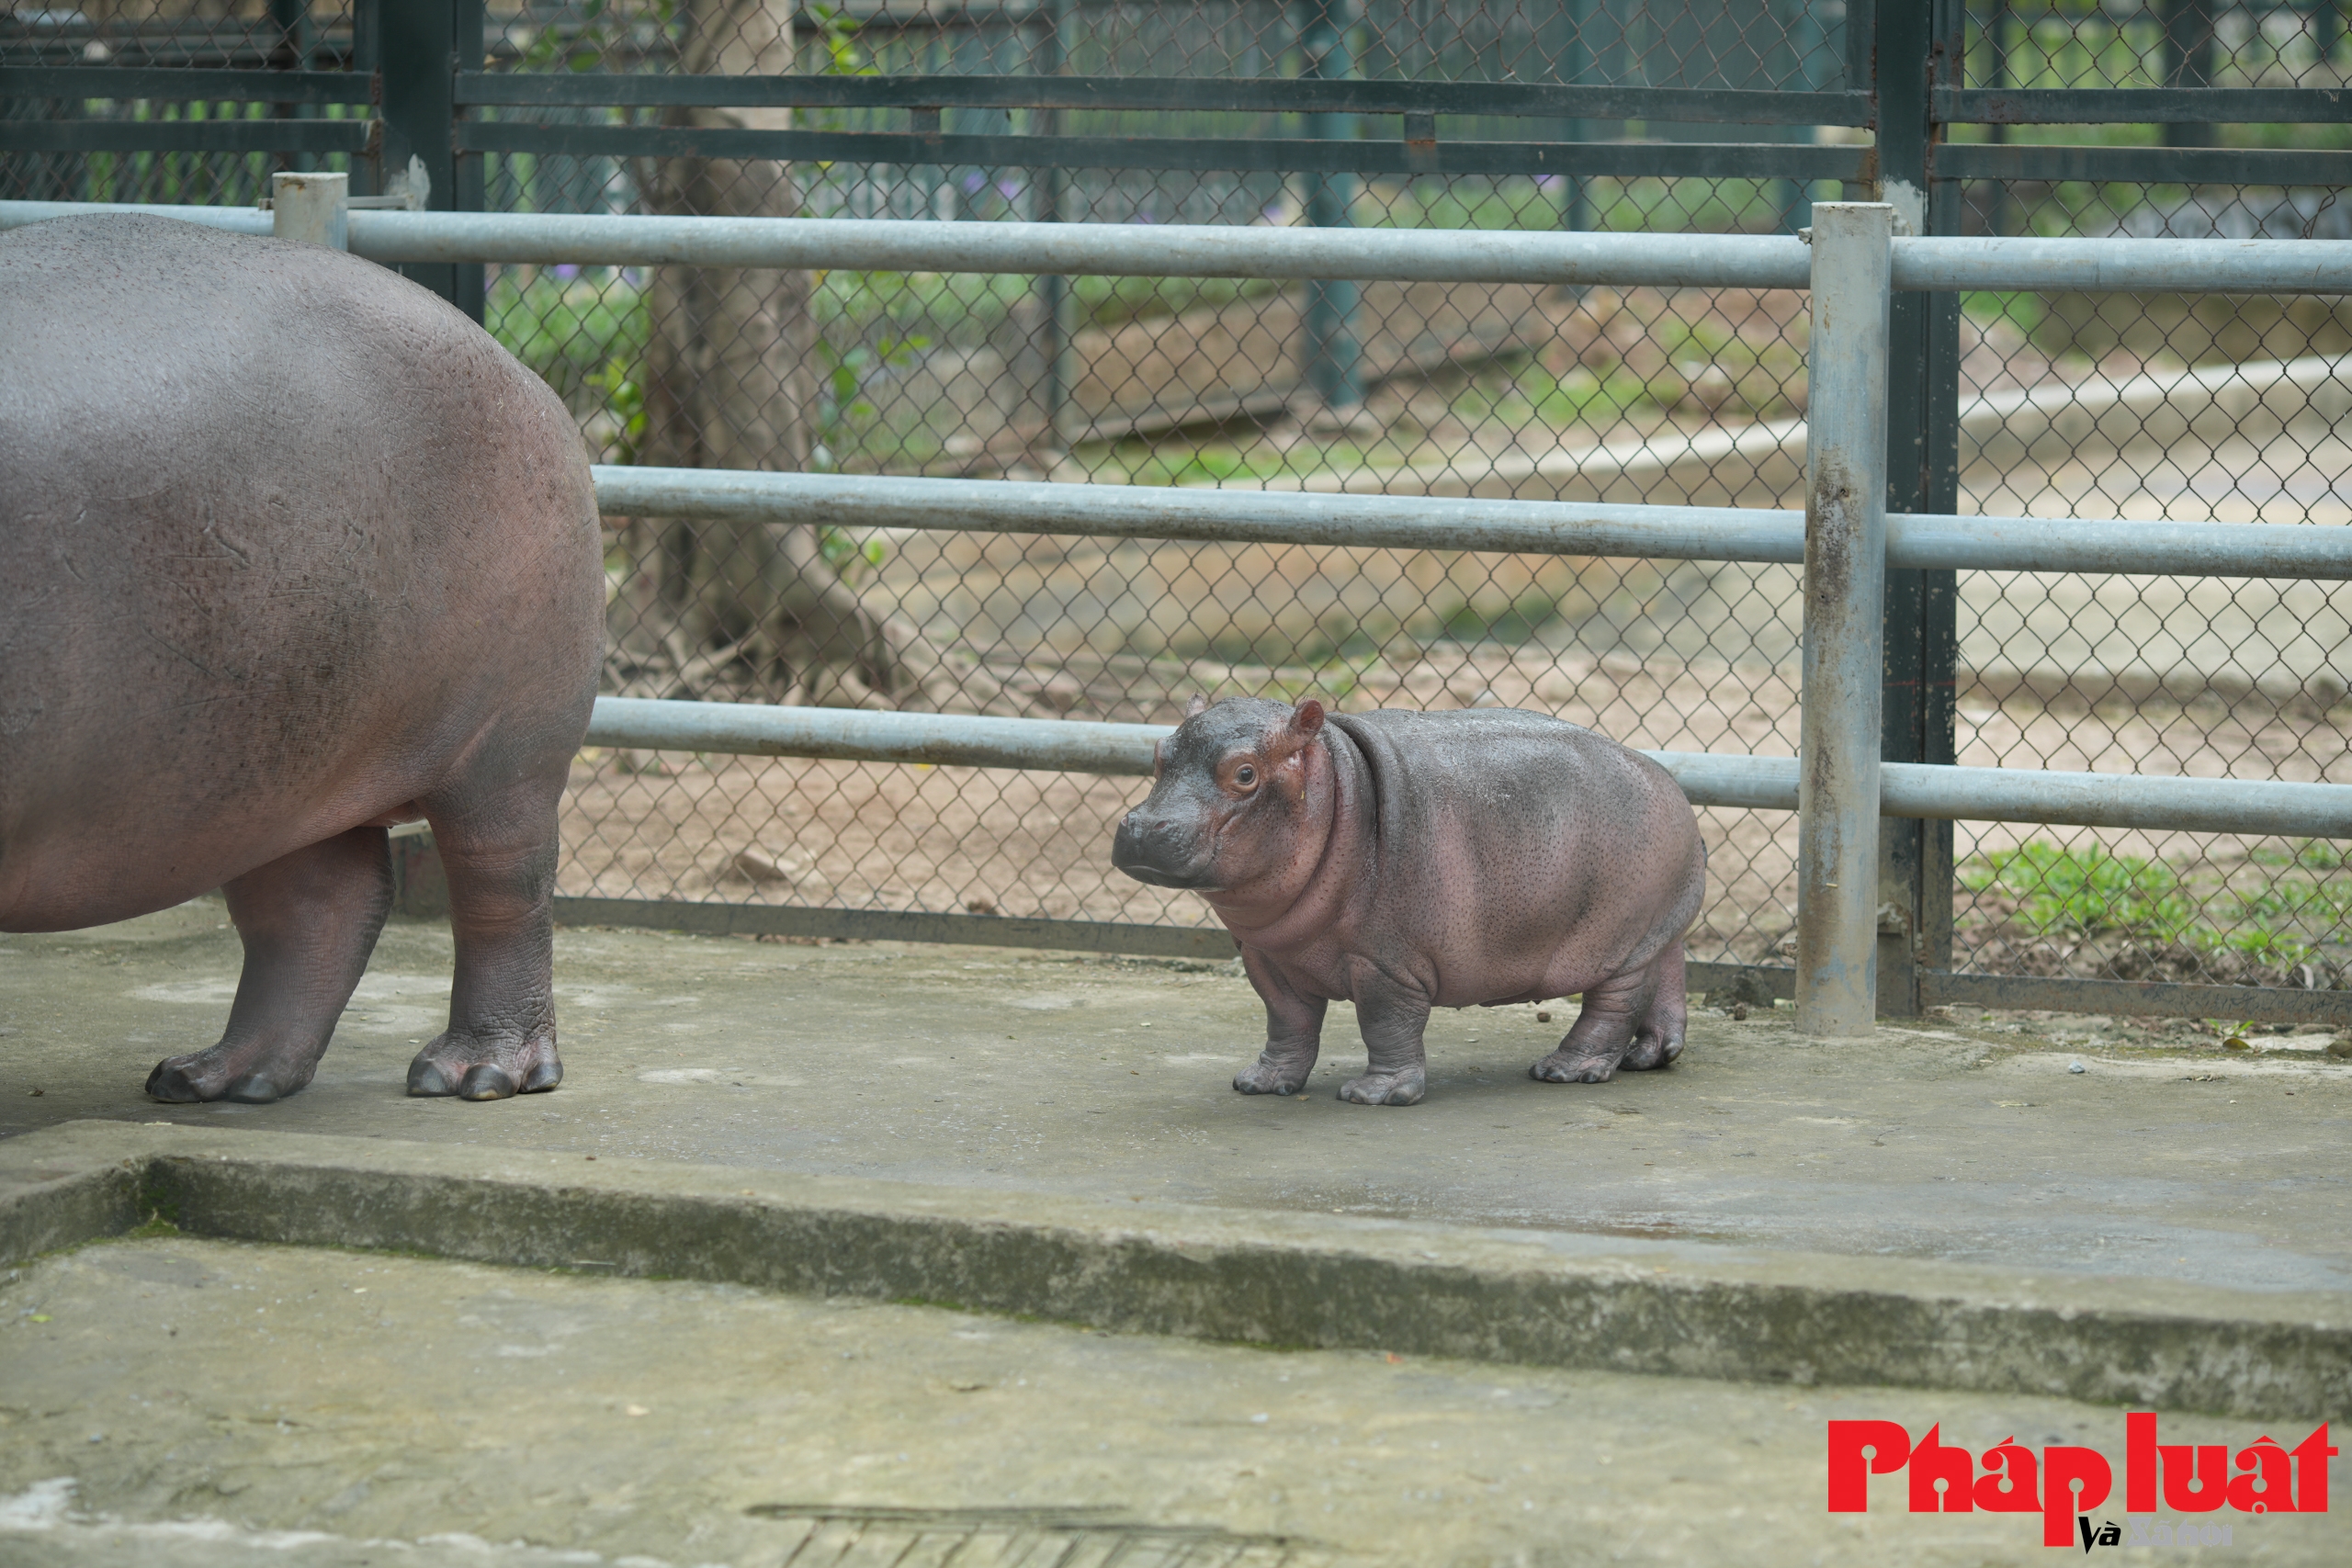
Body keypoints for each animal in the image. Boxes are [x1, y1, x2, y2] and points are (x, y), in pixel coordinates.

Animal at [5, 217, 606, 1104]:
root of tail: (517, 365)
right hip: (265, 771)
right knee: (319, 905)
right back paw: (214, 1077)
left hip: (509, 749)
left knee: (504, 889)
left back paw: (474, 1073)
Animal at [1110, 700, 1702, 1104]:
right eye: (1158, 755)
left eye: (1245, 772)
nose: (1141, 827)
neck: (1336, 783)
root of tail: (1669, 781)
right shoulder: (1266, 958)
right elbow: (1287, 1020)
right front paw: (1261, 1082)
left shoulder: (1386, 963)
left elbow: (1385, 1022)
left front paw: (1375, 1095)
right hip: (1657, 931)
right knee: (1670, 973)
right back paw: (1650, 1056)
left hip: (1621, 940)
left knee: (1613, 1006)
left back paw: (1564, 1070)